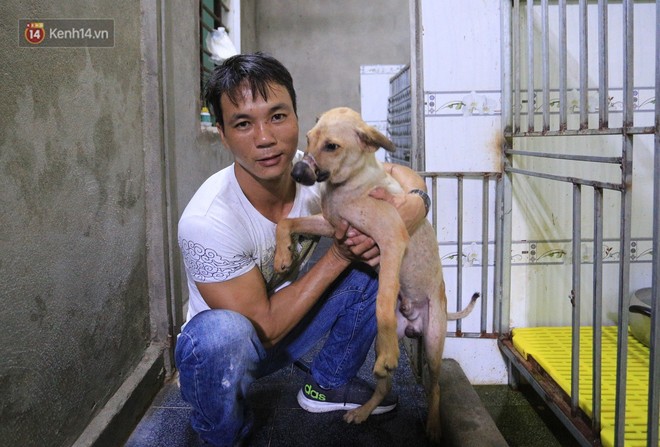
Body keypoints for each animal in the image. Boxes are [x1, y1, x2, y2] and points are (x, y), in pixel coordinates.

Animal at [274, 107, 480, 442]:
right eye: (308, 138)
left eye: (332, 146)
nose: (297, 173)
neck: (349, 185)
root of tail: (414, 322)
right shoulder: (331, 224)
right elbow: (286, 221)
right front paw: (282, 256)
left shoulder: (392, 240)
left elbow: (383, 297)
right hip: (390, 343)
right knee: (384, 386)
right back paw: (364, 410)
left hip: (434, 344)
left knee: (435, 387)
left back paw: (433, 425)